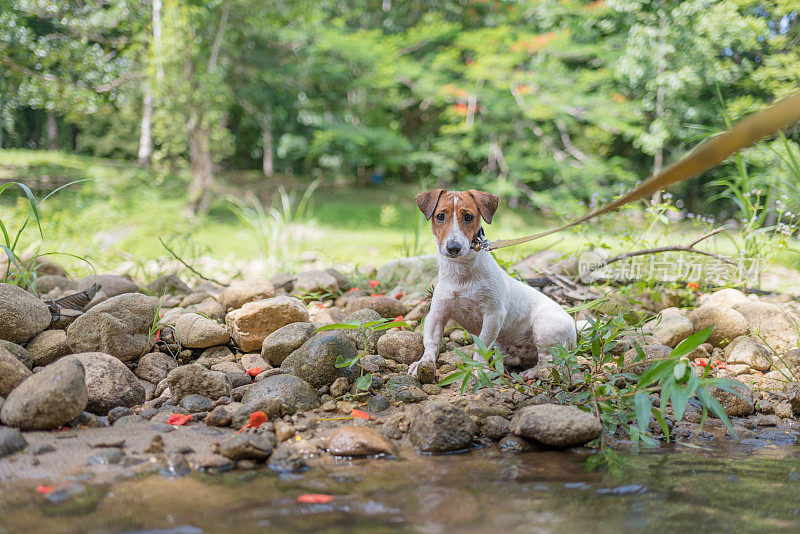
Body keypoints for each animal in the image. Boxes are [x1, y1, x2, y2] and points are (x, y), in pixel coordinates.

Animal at [410, 191, 580, 378]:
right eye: (440, 216)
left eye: (468, 217)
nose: (453, 247)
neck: (461, 275)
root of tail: (574, 327)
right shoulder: (437, 314)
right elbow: (432, 341)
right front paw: (424, 363)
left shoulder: (493, 315)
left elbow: (482, 344)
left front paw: (478, 368)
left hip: (545, 328)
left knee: (548, 361)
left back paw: (532, 372)